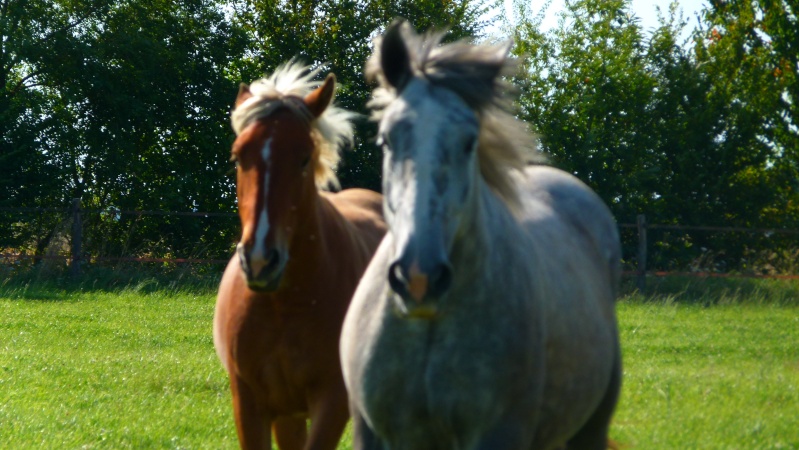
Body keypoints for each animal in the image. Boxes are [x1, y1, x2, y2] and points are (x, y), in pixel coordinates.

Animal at [212, 60, 388, 450]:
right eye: (238, 156)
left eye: (305, 158)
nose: (260, 260)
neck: (284, 304)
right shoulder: (250, 403)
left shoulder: (333, 400)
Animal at [338, 21, 624, 450]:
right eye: (387, 140)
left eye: (469, 142)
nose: (419, 279)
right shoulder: (372, 434)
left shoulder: (499, 433)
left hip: (588, 430)